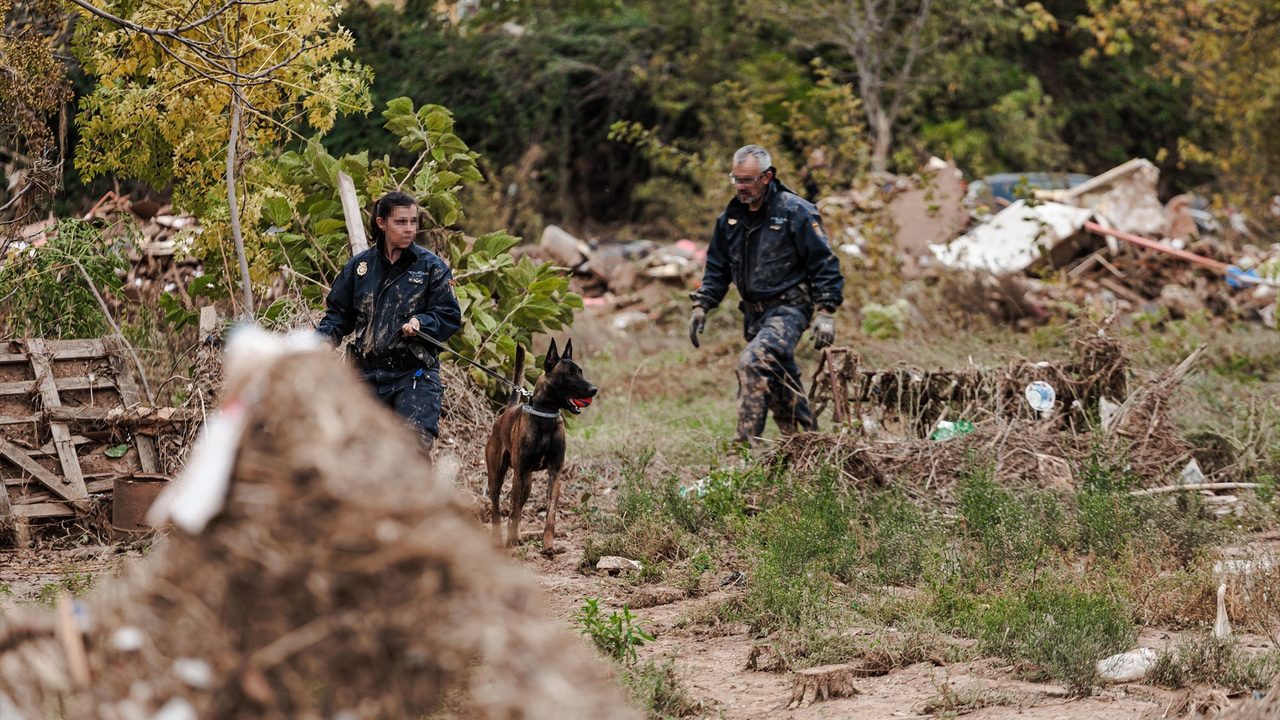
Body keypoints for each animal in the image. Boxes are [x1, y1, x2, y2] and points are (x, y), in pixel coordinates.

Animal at [486, 338, 596, 550]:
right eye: (568, 374)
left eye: (580, 371)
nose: (594, 389)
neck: (546, 416)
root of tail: (506, 412)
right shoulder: (519, 473)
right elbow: (512, 511)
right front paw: (511, 542)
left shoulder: (555, 472)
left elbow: (550, 512)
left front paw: (548, 545)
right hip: (497, 476)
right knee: (497, 508)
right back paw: (499, 539)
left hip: (527, 484)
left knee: (519, 507)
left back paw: (518, 536)